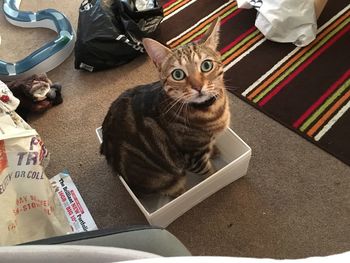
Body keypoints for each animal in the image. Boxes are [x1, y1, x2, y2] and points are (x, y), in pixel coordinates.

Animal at [100, 19, 230, 197]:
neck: (210, 109)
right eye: (178, 74)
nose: (198, 87)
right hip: (169, 179)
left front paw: (215, 150)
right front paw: (214, 176)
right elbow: (210, 173)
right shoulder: (193, 156)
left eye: (206, 65)